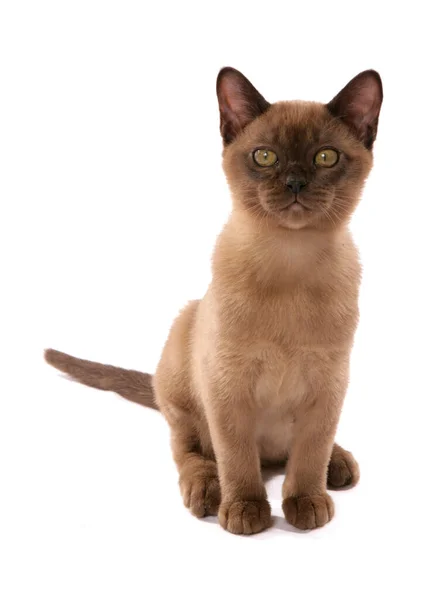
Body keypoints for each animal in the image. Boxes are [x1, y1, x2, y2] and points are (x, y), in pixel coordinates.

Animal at [45, 65, 382, 536]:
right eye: (265, 157)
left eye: (325, 158)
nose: (295, 182)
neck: (290, 259)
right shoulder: (227, 385)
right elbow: (236, 458)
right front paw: (244, 511)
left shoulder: (328, 383)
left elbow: (310, 452)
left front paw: (305, 502)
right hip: (184, 353)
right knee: (193, 451)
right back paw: (207, 491)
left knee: (299, 450)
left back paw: (338, 464)